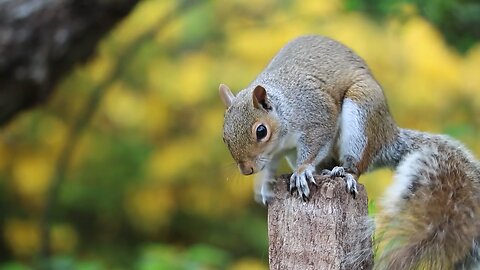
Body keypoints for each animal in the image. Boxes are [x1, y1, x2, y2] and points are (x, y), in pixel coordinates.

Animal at [219, 34, 480, 268]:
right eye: (224, 135)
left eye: (261, 131)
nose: (246, 170)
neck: (285, 108)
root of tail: (387, 136)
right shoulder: (277, 151)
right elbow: (271, 165)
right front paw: (265, 185)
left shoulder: (318, 114)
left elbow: (316, 143)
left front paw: (302, 172)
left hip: (361, 116)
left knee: (357, 164)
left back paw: (344, 172)